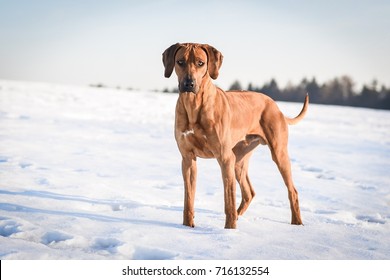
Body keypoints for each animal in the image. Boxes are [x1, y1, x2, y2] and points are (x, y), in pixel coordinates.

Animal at [161, 42, 308, 229]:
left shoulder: (225, 158)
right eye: (180, 62)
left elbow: (228, 199)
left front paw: (229, 230)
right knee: (249, 192)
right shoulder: (187, 158)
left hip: (277, 153)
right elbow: (189, 198)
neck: (193, 105)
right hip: (239, 159)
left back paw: (296, 223)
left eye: (201, 63)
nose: (189, 83)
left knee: (292, 190)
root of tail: (275, 105)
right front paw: (187, 226)